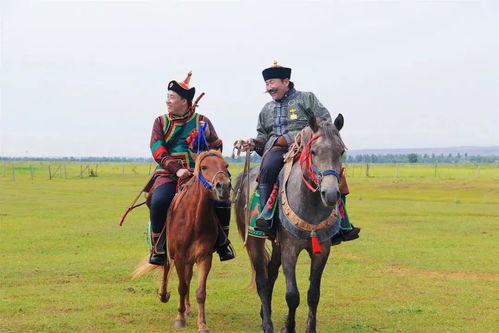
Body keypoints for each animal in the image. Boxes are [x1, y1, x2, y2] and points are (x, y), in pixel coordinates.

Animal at [235, 113, 348, 330]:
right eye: (313, 151)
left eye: (340, 152)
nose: (330, 194)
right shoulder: (290, 249)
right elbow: (292, 295)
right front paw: (288, 327)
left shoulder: (322, 250)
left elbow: (313, 295)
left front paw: (309, 328)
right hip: (254, 240)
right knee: (262, 280)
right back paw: (267, 324)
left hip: (276, 244)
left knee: (271, 273)